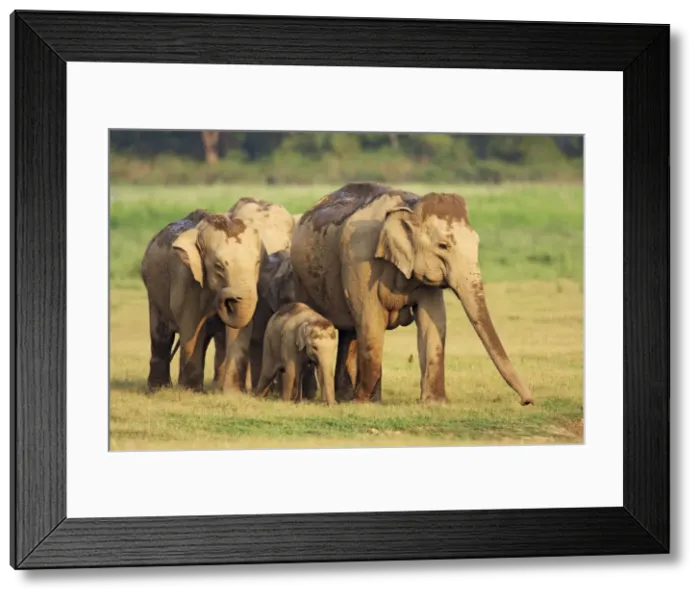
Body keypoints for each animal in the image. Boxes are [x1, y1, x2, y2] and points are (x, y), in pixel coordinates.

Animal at [140, 208, 265, 393]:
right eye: (219, 266)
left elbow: (238, 328)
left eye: (257, 263)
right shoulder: (186, 276)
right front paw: (190, 390)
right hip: (153, 289)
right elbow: (191, 324)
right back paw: (159, 388)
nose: (227, 299)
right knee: (161, 333)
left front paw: (233, 393)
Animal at [289, 182, 534, 406]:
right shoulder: (359, 259)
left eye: (477, 242)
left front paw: (435, 403)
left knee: (350, 332)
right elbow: (371, 322)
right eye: (443, 246)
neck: (410, 206)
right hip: (301, 280)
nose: (527, 401)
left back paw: (350, 397)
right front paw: (361, 402)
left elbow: (434, 322)